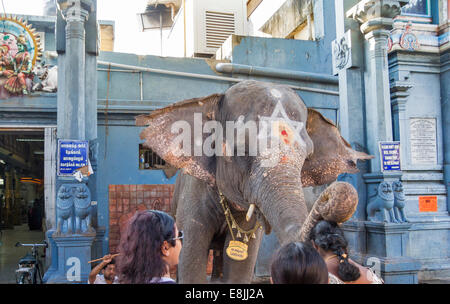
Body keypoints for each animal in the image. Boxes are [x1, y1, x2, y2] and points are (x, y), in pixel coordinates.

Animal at [136, 80, 372, 282]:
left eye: (307, 156)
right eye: (242, 150)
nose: (328, 196)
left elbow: (240, 266)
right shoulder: (194, 193)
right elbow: (191, 257)